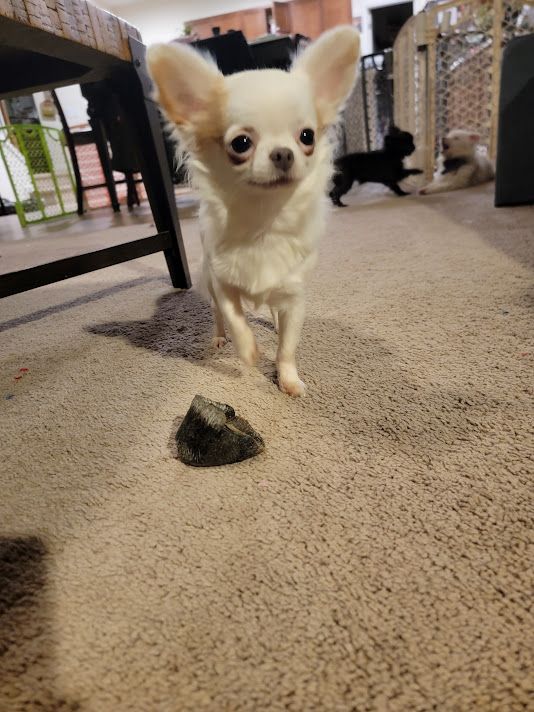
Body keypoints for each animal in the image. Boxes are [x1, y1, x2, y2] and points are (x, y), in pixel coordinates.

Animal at [147, 27, 360, 396]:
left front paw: (288, 379)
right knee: (218, 318)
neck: (265, 220)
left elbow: (287, 346)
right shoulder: (222, 284)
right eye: (241, 143)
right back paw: (218, 338)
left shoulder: (294, 295)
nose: (283, 153)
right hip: (208, 283)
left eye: (307, 136)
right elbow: (236, 320)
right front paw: (248, 353)